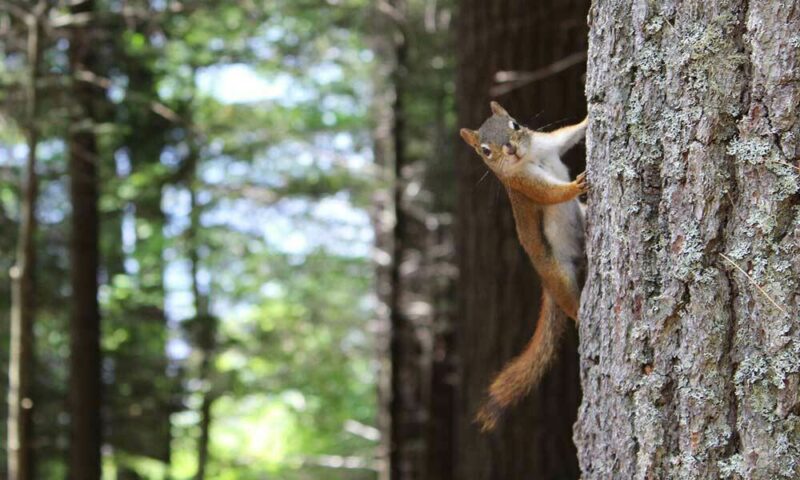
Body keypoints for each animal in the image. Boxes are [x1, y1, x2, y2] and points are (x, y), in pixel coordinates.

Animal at [456, 101, 588, 432]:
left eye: (514, 124)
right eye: (485, 151)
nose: (510, 150)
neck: (530, 156)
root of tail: (545, 283)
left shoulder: (549, 143)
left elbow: (569, 134)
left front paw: (589, 118)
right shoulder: (524, 185)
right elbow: (551, 194)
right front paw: (575, 185)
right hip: (558, 275)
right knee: (569, 303)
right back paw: (581, 315)